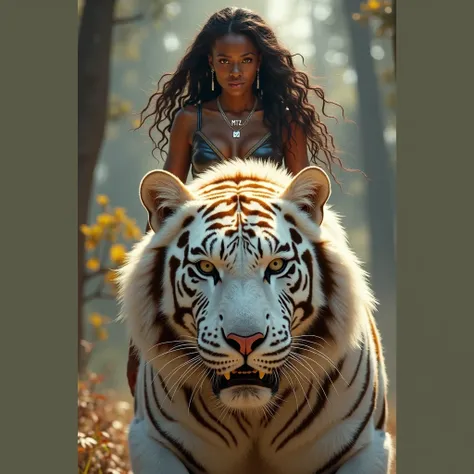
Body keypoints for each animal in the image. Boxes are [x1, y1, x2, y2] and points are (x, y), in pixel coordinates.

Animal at [116, 160, 394, 474]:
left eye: (276, 265)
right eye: (205, 267)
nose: (245, 341)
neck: (252, 412)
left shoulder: (366, 446)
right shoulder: (153, 442)